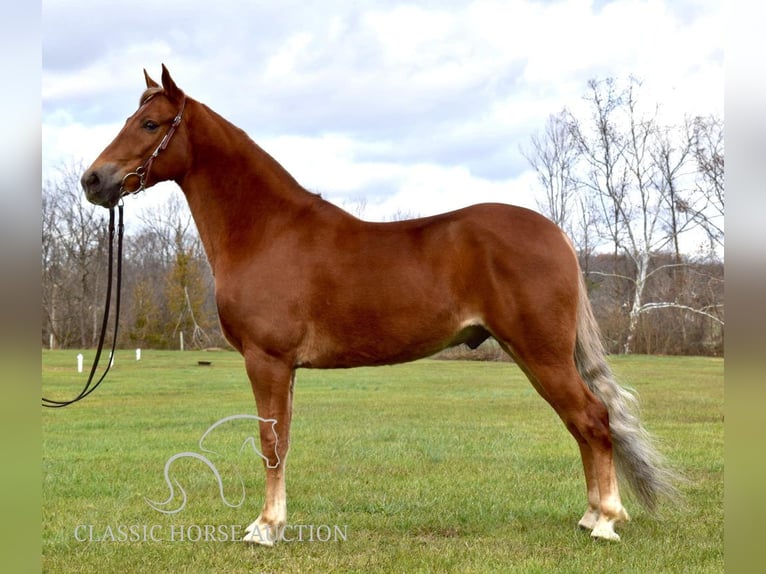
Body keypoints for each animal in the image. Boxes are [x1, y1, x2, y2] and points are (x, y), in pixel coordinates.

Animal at [81, 66, 676, 544]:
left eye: (151, 124)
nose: (93, 180)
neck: (268, 231)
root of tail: (560, 238)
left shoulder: (266, 359)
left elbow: (270, 440)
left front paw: (265, 529)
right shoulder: (284, 367)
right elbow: (283, 440)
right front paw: (276, 522)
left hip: (542, 354)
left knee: (592, 419)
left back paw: (604, 521)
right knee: (581, 424)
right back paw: (590, 515)